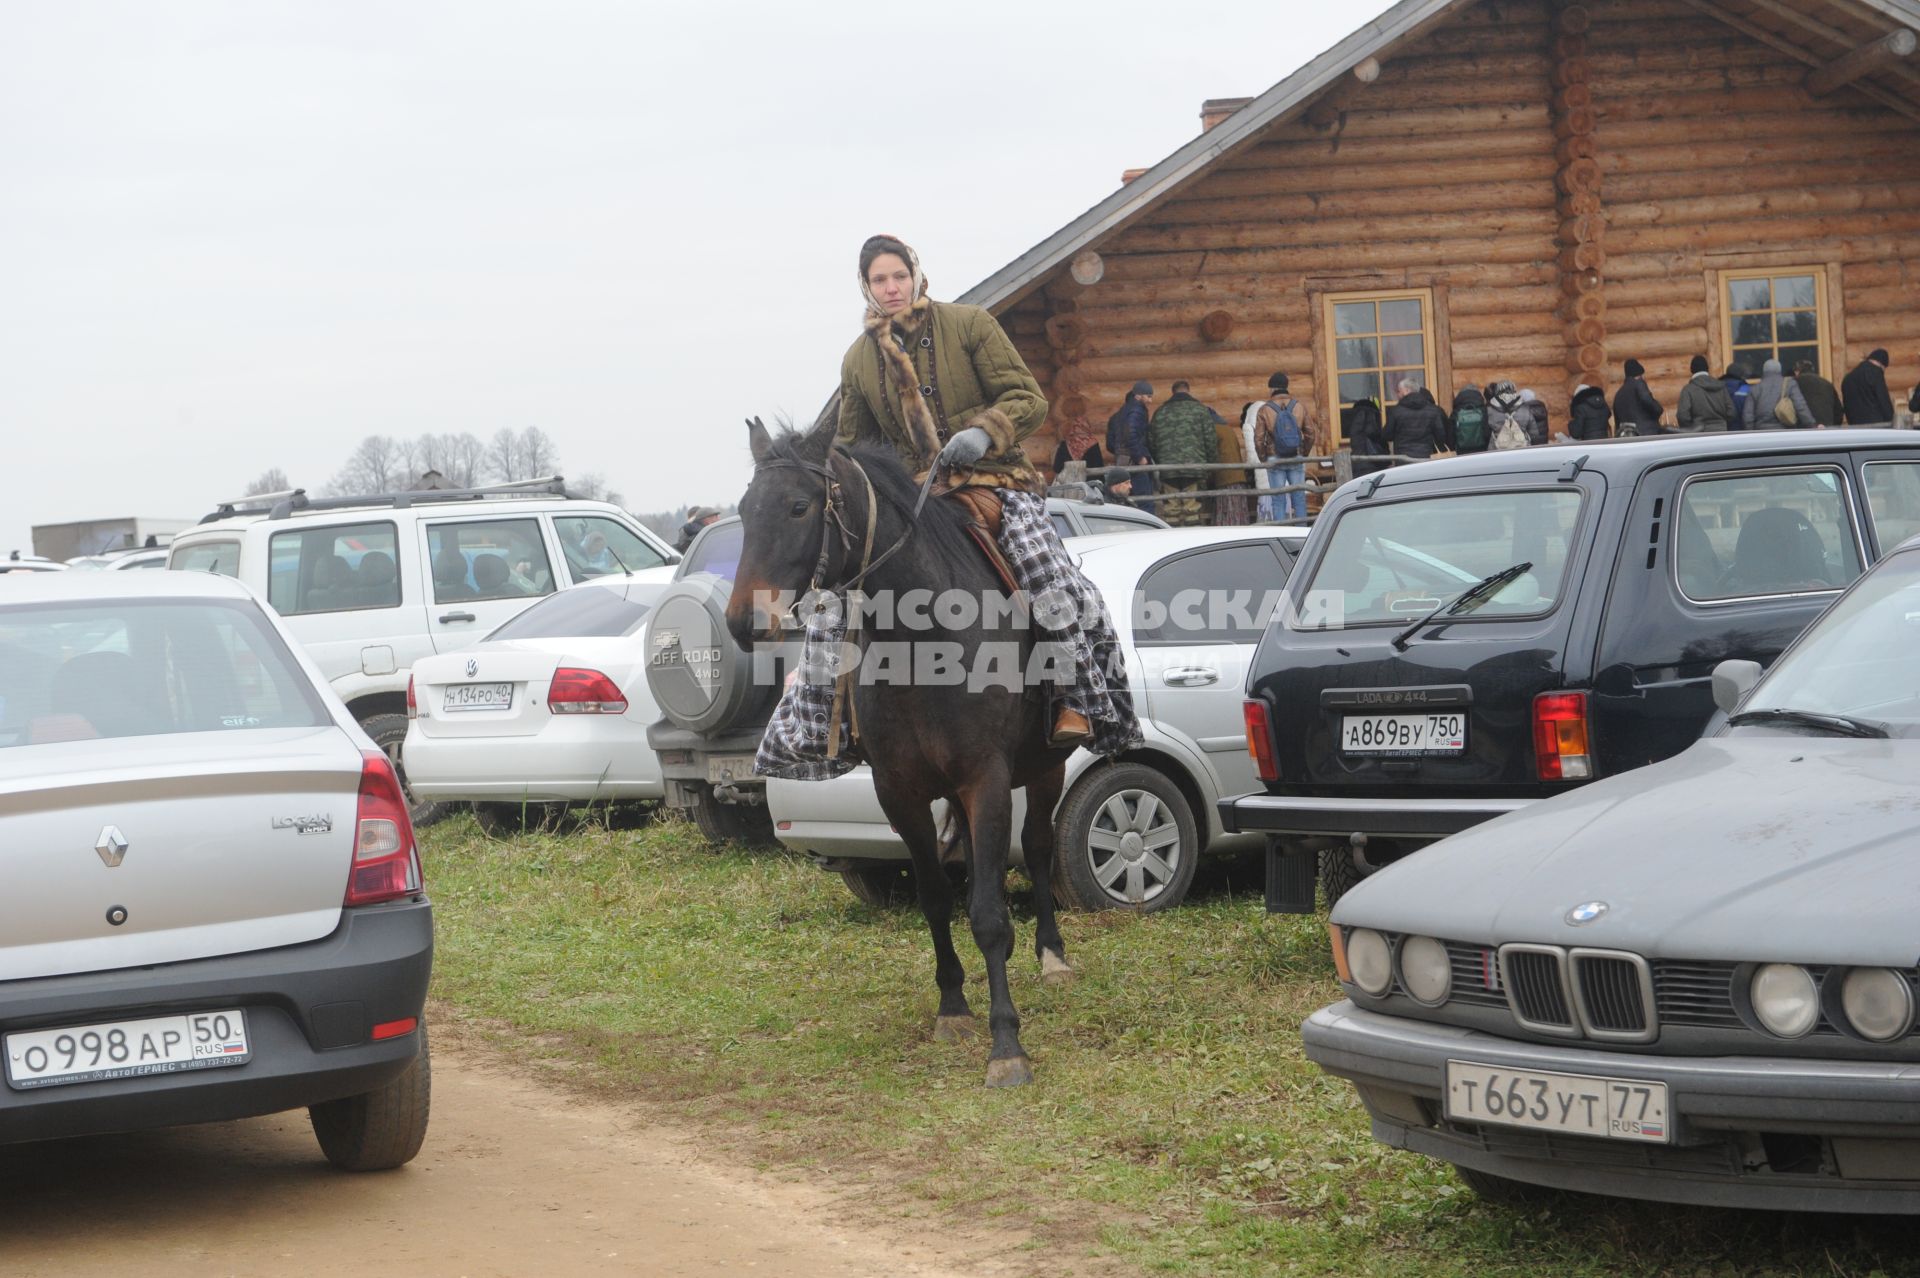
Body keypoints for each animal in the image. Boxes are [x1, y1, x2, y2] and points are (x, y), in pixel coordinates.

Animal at [721, 410, 1075, 1082]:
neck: (924, 642)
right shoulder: (899, 791)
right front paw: (954, 1008)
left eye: (799, 506)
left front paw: (1006, 1045)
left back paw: (1053, 956)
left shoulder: (987, 779)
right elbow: (937, 898)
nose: (742, 622)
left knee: (1042, 848)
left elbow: (988, 914)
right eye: (746, 509)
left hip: (1046, 770)